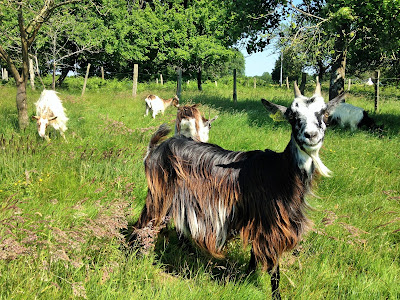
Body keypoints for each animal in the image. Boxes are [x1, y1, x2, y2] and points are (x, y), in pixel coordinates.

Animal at [134, 82, 344, 300]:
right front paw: (275, 295)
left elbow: (254, 254)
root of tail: (155, 148)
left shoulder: (256, 219)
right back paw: (135, 258)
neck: (281, 172)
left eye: (324, 113)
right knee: (143, 224)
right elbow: (274, 266)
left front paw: (246, 277)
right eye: (292, 116)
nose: (311, 135)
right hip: (158, 193)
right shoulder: (273, 224)